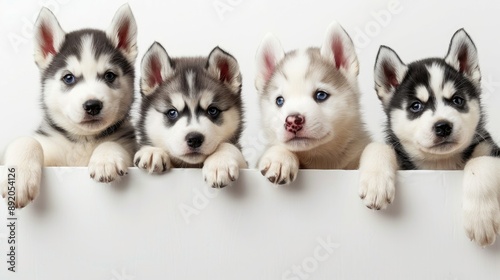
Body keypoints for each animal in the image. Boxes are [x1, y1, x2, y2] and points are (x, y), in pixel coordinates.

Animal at [0, 3, 138, 206]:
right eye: (68, 78)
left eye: (109, 75)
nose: (92, 105)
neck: (83, 140)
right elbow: (26, 141)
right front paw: (18, 179)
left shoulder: (129, 144)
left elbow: (113, 143)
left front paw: (106, 158)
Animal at [134, 42, 247, 188]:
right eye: (172, 112)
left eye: (213, 110)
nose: (194, 139)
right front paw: (152, 151)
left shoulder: (246, 164)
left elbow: (229, 146)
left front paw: (220, 162)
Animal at [360, 29, 500, 247]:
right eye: (416, 106)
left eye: (457, 100)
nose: (443, 126)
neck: (440, 164)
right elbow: (378, 146)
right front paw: (376, 183)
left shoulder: (489, 148)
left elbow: (479, 162)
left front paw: (480, 219)